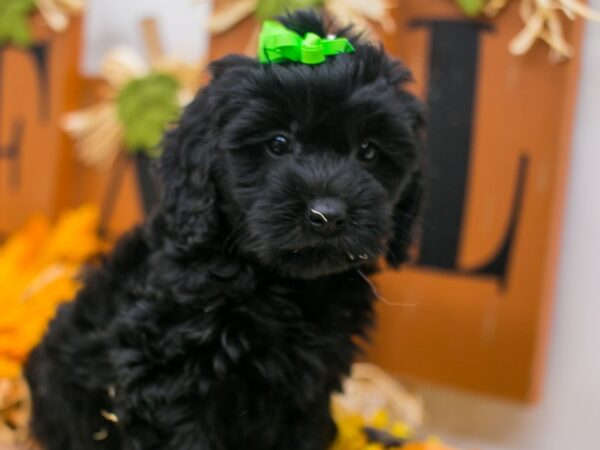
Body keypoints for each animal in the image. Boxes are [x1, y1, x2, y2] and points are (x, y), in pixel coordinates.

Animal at [25, 10, 424, 450]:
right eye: (278, 143)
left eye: (368, 151)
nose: (328, 214)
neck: (281, 286)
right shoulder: (168, 374)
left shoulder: (311, 384)